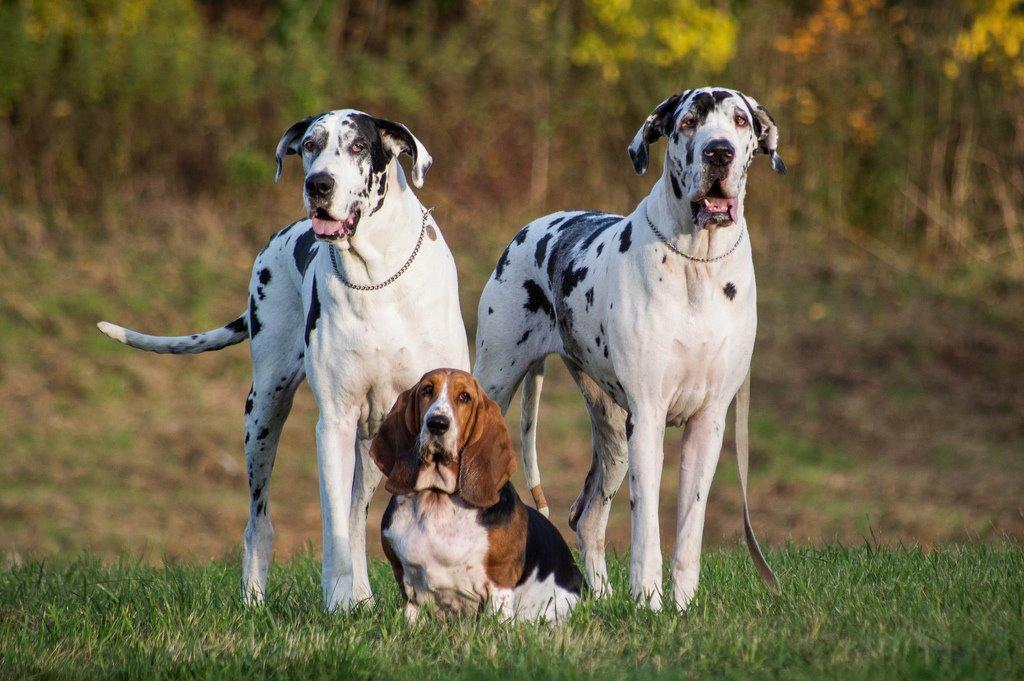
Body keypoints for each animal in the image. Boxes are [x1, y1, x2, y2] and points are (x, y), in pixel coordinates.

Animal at [101, 109, 468, 606]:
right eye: (310, 144)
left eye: (358, 146)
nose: (319, 184)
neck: (378, 277)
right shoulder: (333, 422)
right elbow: (332, 523)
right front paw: (337, 603)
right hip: (264, 414)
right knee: (260, 522)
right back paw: (257, 599)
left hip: (375, 439)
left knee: (356, 517)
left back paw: (363, 596)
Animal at [475, 86, 786, 610]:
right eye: (688, 121)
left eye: (740, 121)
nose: (718, 152)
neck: (697, 262)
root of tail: (533, 225)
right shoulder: (650, 416)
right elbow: (647, 530)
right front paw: (649, 602)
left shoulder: (708, 424)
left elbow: (689, 528)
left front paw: (681, 606)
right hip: (496, 386)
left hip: (615, 437)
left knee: (587, 518)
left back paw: (598, 596)